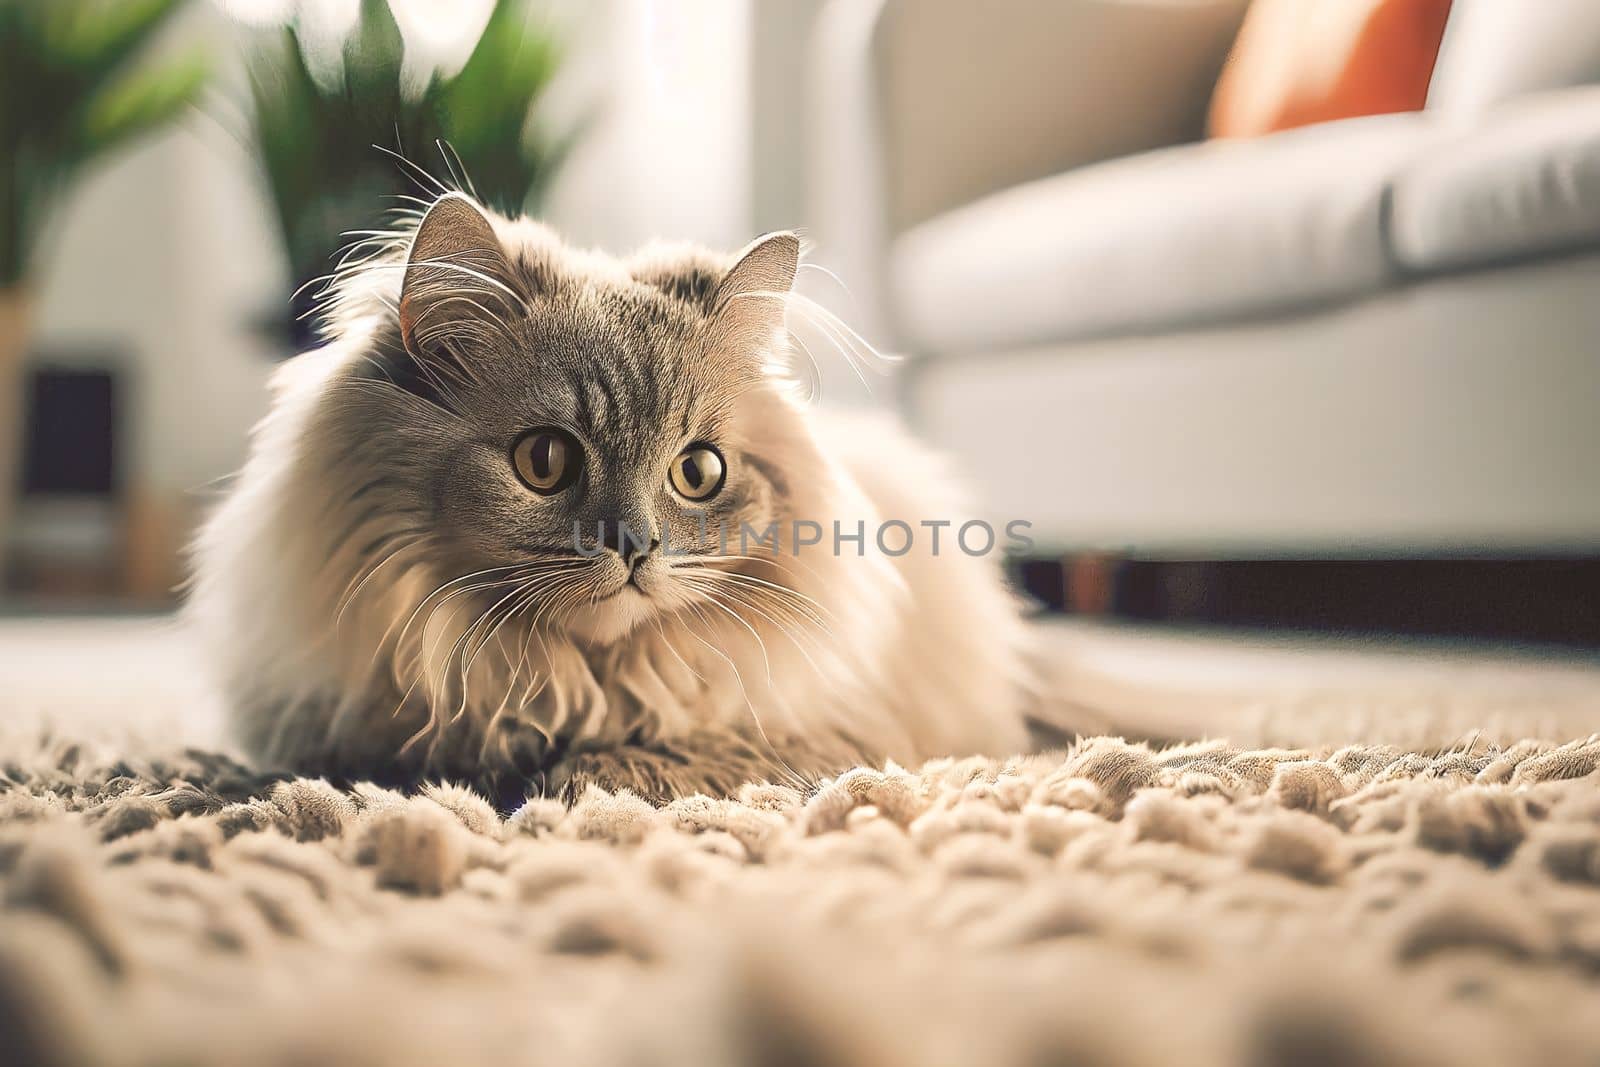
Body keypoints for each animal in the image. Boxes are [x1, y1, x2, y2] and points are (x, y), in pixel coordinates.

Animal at [187, 194, 1030, 809]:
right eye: (545, 460)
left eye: (699, 471)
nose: (636, 544)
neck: (557, 684)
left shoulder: (823, 729)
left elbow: (655, 756)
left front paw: (563, 784)